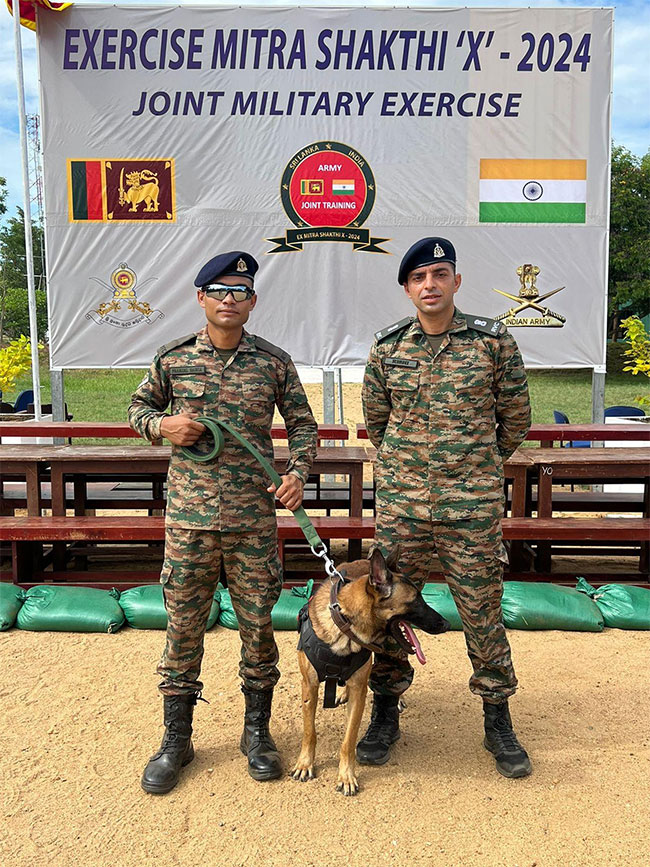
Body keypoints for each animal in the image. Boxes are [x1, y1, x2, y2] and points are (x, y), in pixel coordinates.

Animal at [292, 544, 448, 796]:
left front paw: (346, 776)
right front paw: (305, 764)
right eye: (416, 601)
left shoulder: (359, 691)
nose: (446, 624)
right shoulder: (310, 686)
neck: (344, 625)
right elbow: (309, 732)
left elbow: (348, 739)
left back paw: (397, 699)